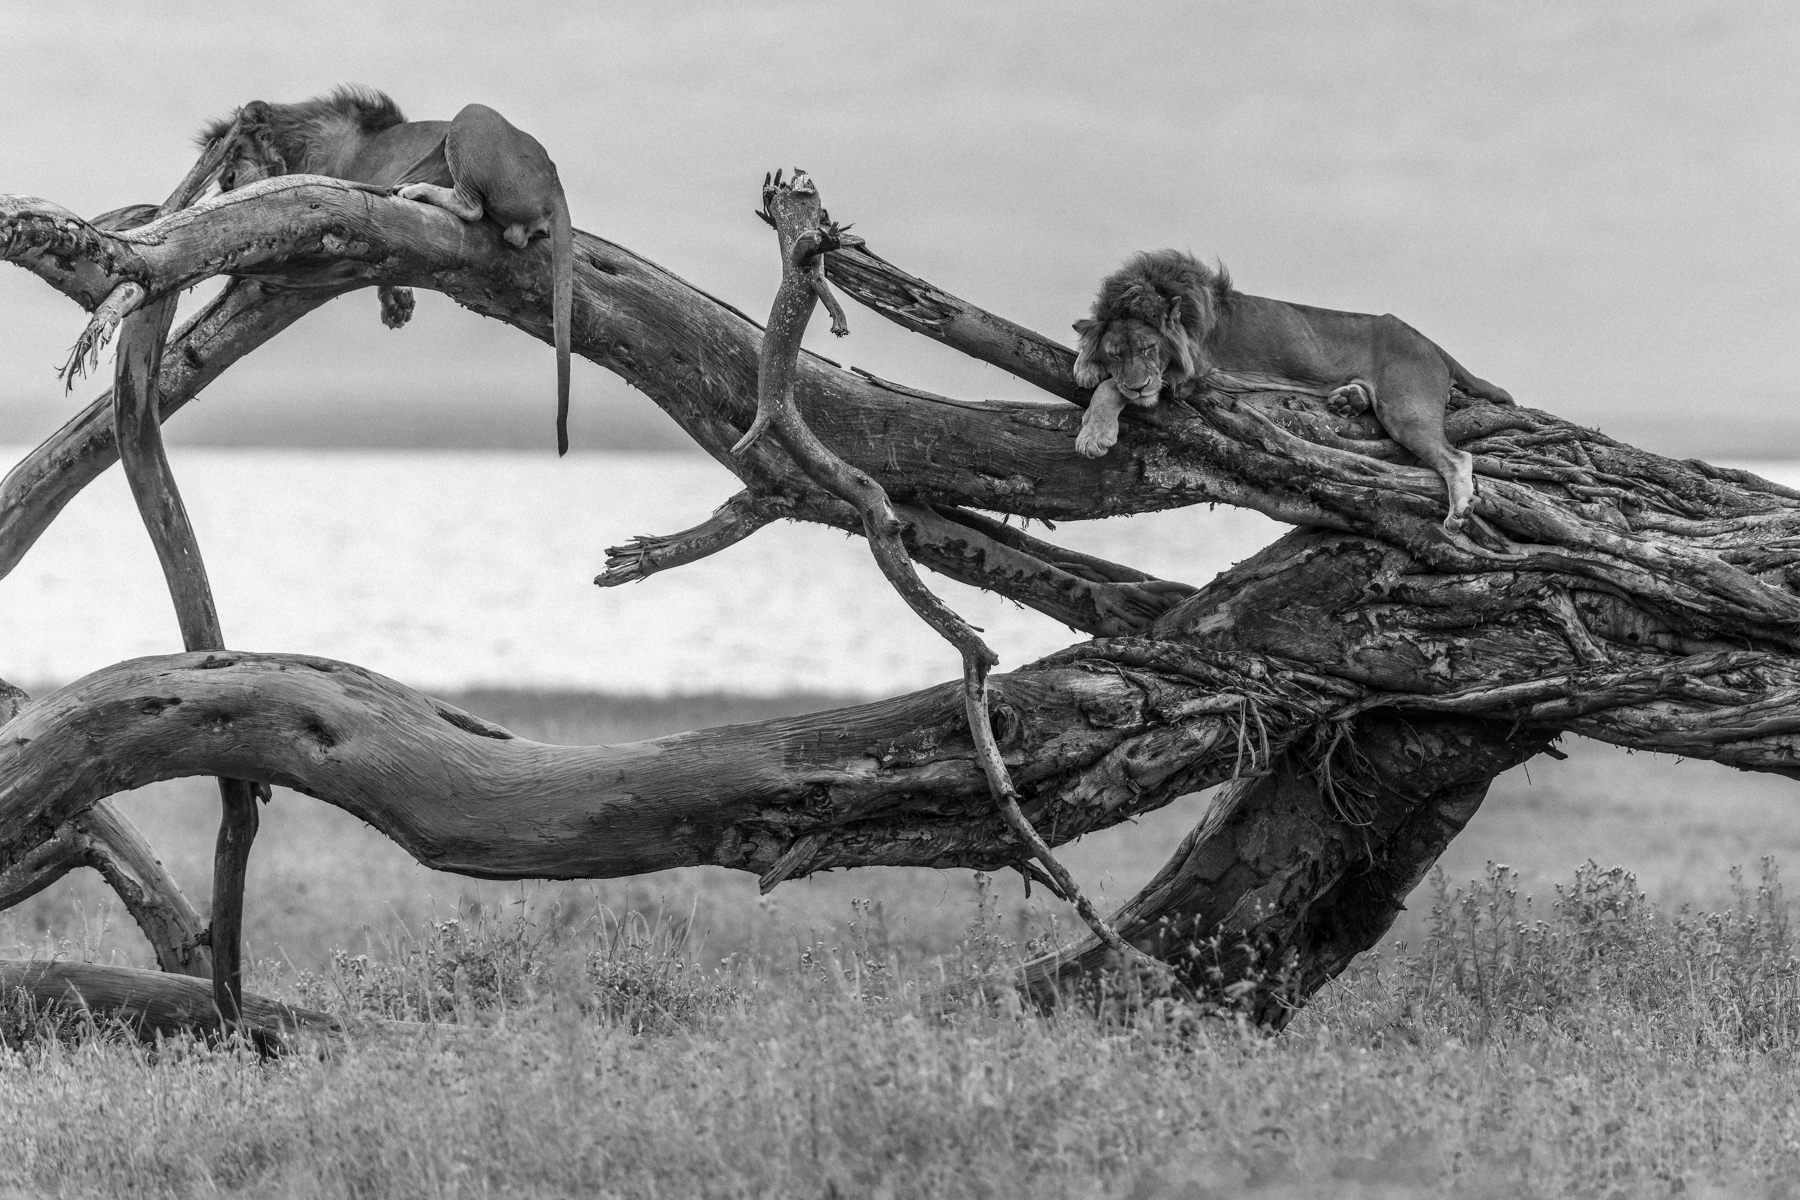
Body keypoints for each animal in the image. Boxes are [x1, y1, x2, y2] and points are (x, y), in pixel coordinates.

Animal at [200, 87, 576, 453]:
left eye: (236, 153)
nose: (227, 180)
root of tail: (555, 184)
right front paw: (397, 303)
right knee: (513, 233)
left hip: (472, 114)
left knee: (470, 207)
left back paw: (415, 190)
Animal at [1071, 249, 1513, 533]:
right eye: (1115, 353)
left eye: (1149, 348)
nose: (1139, 385)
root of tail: (1428, 341)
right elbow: (1103, 372)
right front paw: (1086, 366)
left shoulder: (1187, 376)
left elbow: (1111, 391)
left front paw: (1094, 435)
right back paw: (1347, 399)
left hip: (1406, 410)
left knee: (1457, 457)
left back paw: (1457, 512)